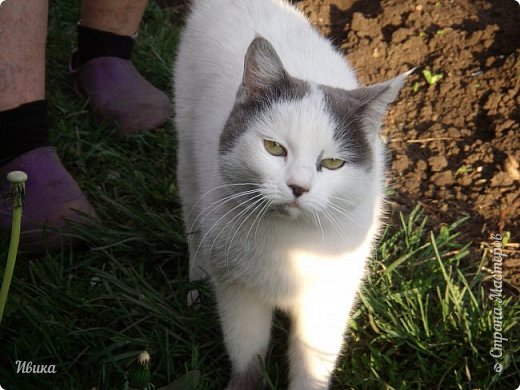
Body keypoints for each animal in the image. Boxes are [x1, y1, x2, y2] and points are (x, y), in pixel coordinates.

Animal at [175, 0, 410, 390]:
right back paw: (198, 273)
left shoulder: (329, 298)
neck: (290, 243)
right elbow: (246, 350)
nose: (298, 187)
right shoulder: (239, 293)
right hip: (188, 154)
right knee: (193, 214)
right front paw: (243, 383)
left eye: (332, 163)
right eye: (273, 148)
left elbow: (312, 362)